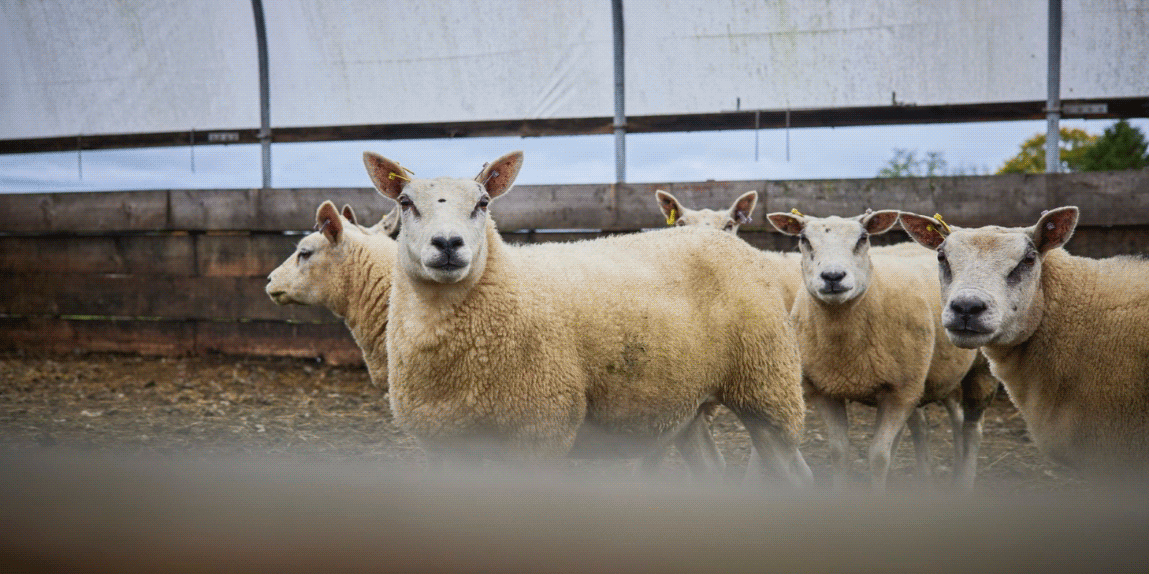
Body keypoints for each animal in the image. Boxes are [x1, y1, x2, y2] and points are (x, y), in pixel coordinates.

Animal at [365, 150, 808, 482]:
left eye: (483, 204)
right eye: (405, 203)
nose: (447, 244)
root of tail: (733, 243)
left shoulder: (541, 430)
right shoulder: (442, 443)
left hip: (768, 385)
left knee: (794, 473)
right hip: (689, 402)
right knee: (712, 469)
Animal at [762, 211, 997, 489]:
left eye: (863, 238)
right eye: (804, 239)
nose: (833, 276)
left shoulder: (900, 392)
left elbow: (878, 456)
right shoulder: (824, 391)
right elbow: (838, 451)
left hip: (977, 370)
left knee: (972, 429)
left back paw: (964, 479)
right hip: (938, 373)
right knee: (943, 421)